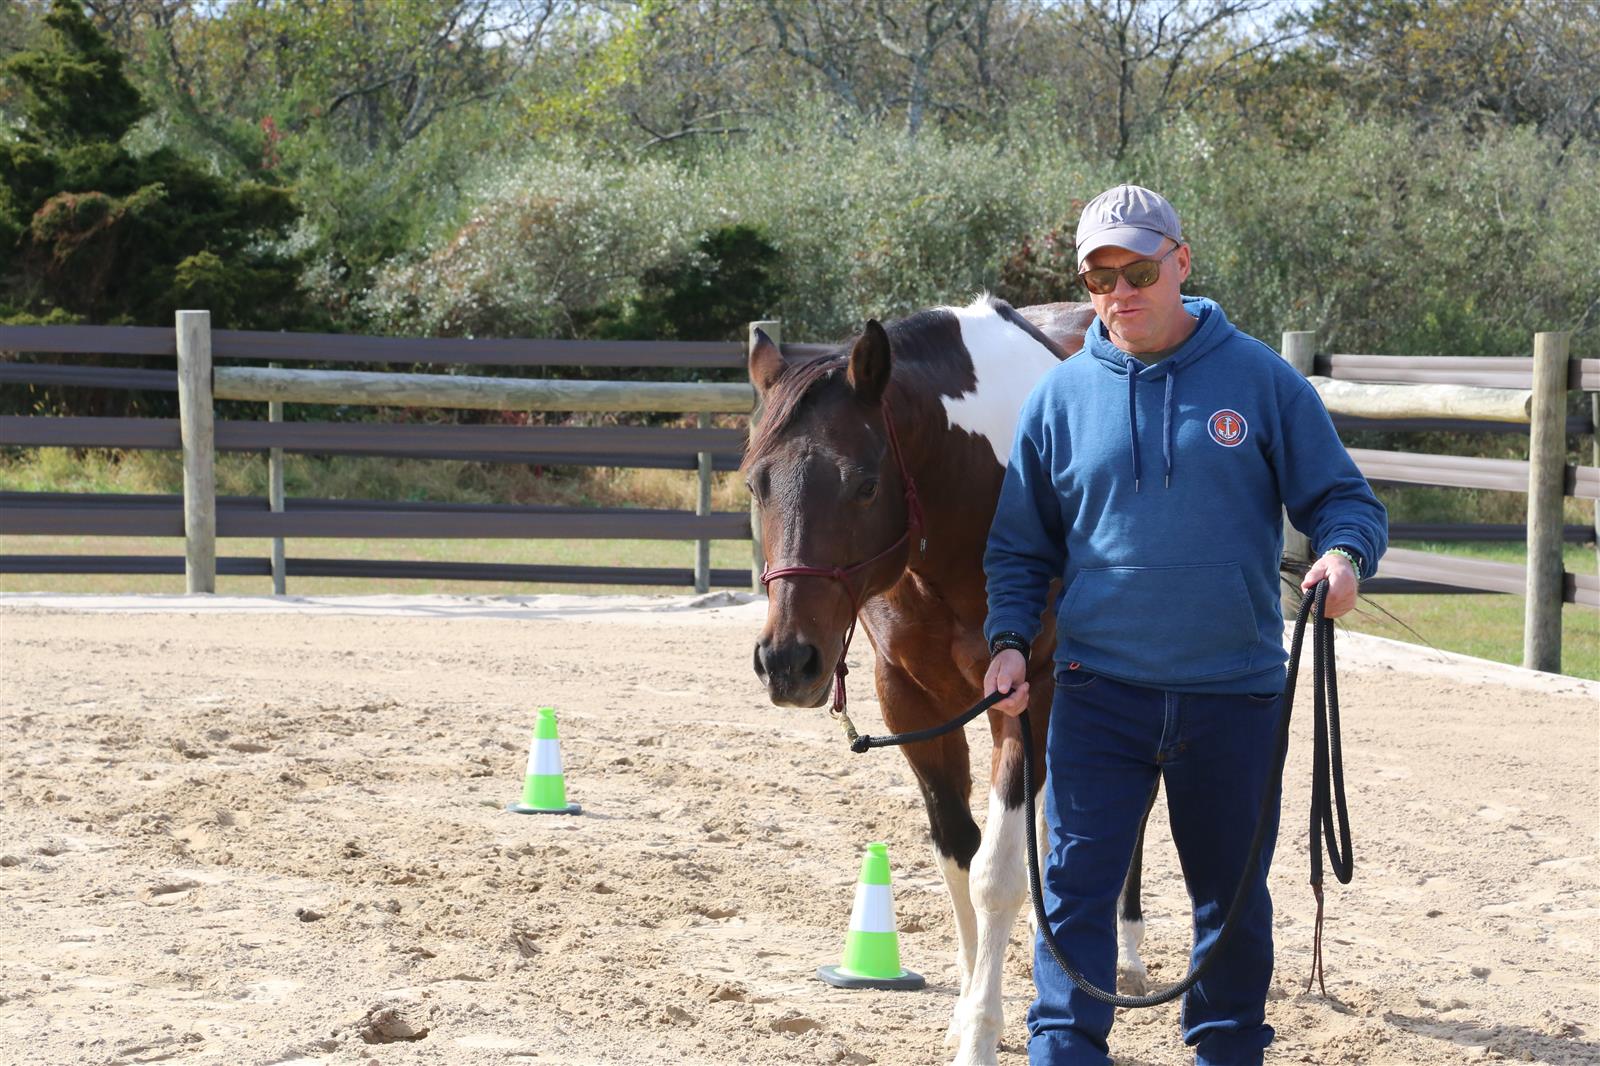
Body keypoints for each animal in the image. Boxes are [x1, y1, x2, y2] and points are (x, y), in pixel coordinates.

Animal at [744, 294, 1154, 1064]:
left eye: (864, 483)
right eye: (756, 482)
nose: (788, 661)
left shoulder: (1026, 698)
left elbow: (998, 876)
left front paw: (983, 1036)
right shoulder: (912, 706)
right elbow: (959, 857)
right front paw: (967, 1015)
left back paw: (1128, 957)